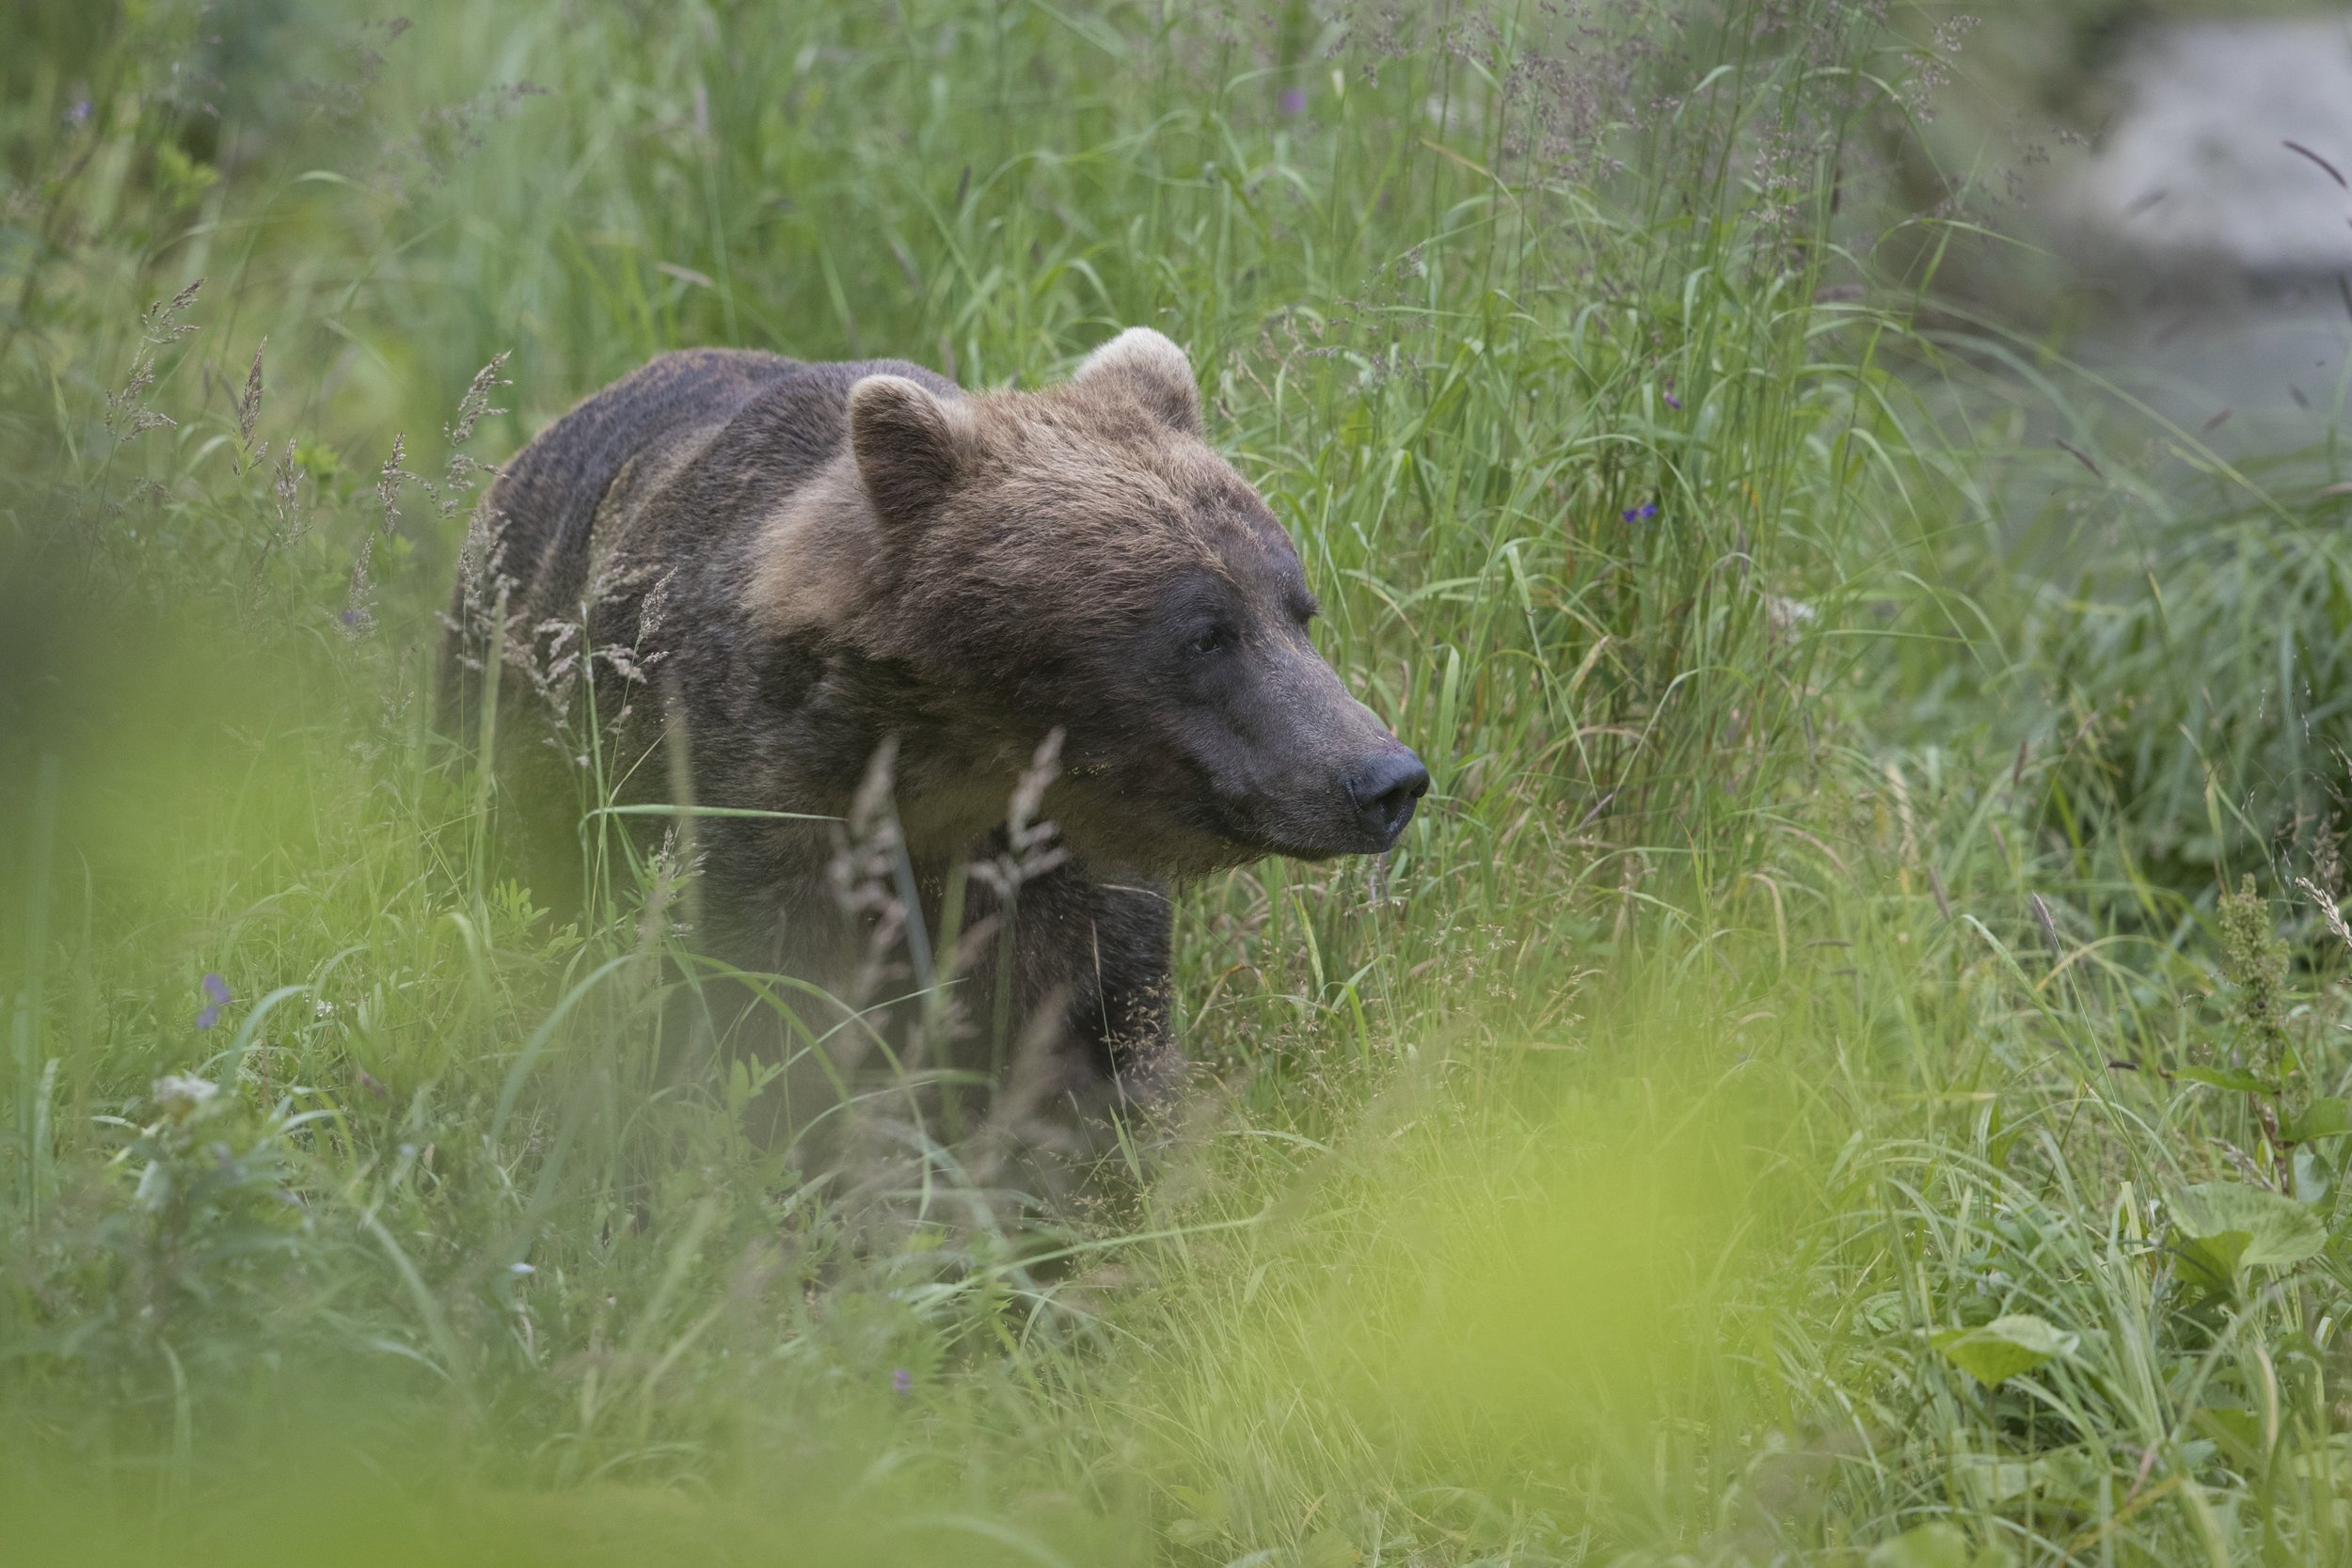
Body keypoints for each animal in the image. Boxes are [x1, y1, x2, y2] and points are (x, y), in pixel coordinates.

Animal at [441, 328, 1427, 1130]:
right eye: (1205, 631)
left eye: (1296, 608)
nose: (1385, 779)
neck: (946, 767)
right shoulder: (752, 816)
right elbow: (764, 1033)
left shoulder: (1069, 881)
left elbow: (1097, 1047)